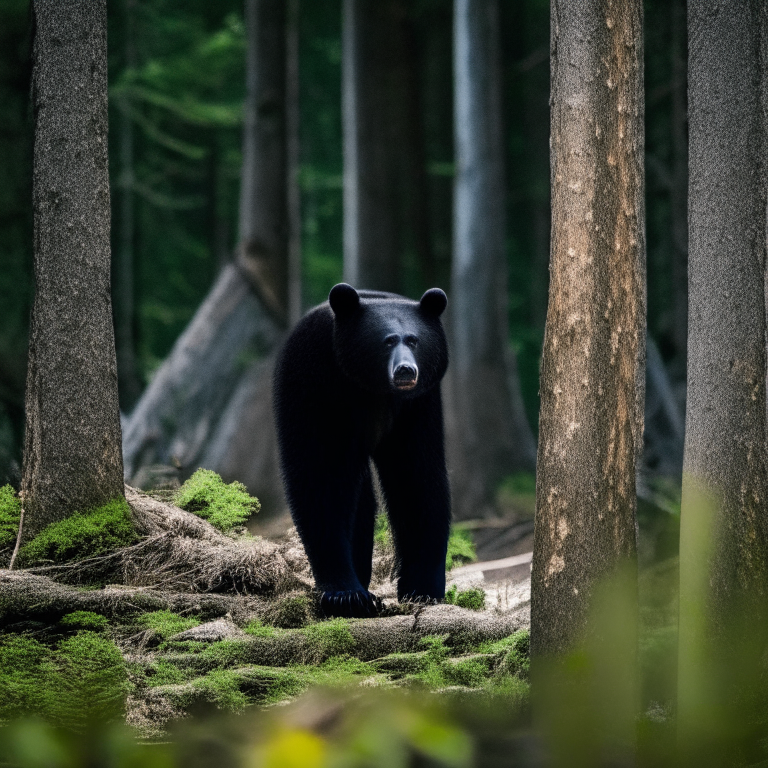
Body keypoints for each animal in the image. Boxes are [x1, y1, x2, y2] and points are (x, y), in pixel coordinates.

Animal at [272, 282, 450, 616]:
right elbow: (322, 476)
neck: (373, 387)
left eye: (414, 340)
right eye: (387, 340)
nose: (405, 370)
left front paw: (423, 589)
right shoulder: (319, 383)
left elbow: (416, 477)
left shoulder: (417, 405)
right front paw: (344, 593)